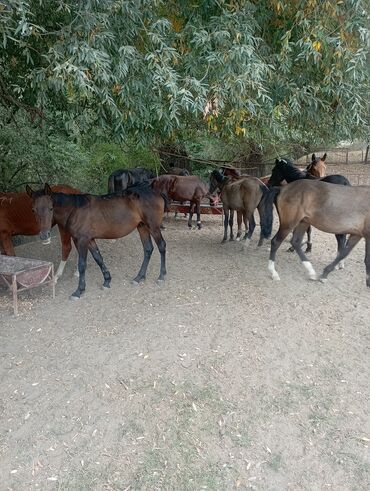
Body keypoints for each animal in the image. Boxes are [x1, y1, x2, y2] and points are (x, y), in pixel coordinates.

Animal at [27, 184, 168, 300]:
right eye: (33, 210)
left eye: (51, 208)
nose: (44, 235)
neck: (75, 209)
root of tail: (156, 193)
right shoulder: (90, 240)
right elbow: (98, 258)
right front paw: (107, 281)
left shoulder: (82, 240)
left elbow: (82, 265)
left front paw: (79, 291)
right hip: (142, 227)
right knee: (148, 249)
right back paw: (139, 277)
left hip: (153, 227)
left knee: (161, 246)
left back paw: (161, 276)